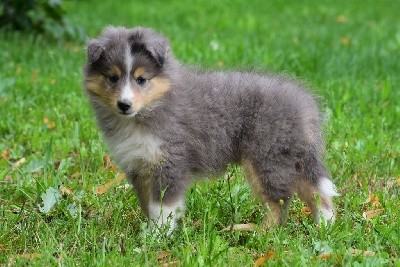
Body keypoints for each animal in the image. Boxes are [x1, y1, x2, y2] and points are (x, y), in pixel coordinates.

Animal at [83, 26, 340, 233]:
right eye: (112, 77)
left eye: (141, 79)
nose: (124, 104)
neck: (153, 107)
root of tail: (306, 107)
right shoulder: (140, 165)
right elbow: (148, 205)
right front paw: (150, 231)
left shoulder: (169, 163)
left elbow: (162, 207)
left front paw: (157, 236)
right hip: (291, 158)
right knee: (314, 192)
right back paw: (325, 226)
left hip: (267, 159)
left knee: (279, 204)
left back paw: (255, 230)